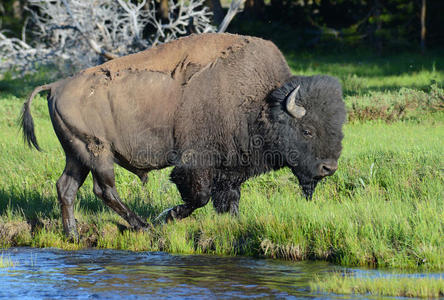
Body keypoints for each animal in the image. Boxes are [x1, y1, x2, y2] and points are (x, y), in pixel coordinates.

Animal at [20, 33, 346, 239]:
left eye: (338, 126)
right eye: (307, 130)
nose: (328, 168)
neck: (261, 103)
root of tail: (55, 85)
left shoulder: (231, 168)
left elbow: (229, 198)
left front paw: (235, 224)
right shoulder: (196, 164)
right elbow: (199, 197)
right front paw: (167, 216)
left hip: (76, 155)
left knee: (66, 188)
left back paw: (73, 235)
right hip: (97, 152)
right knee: (104, 190)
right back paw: (143, 227)